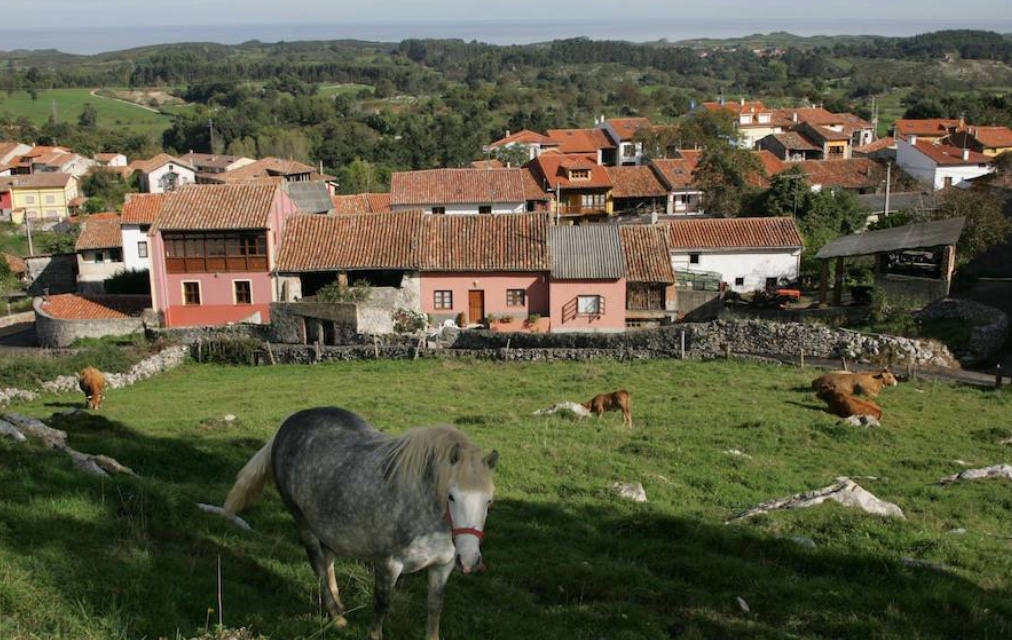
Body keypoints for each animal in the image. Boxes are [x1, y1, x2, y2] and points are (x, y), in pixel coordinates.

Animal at [226, 407, 501, 640]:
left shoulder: (442, 567)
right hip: (303, 523)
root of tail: (286, 425)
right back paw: (336, 617)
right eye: (452, 496)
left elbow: (434, 610)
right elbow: (381, 607)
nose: (469, 560)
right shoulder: (388, 565)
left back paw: (339, 604)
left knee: (328, 559)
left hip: (329, 526)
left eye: (489, 500)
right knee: (317, 564)